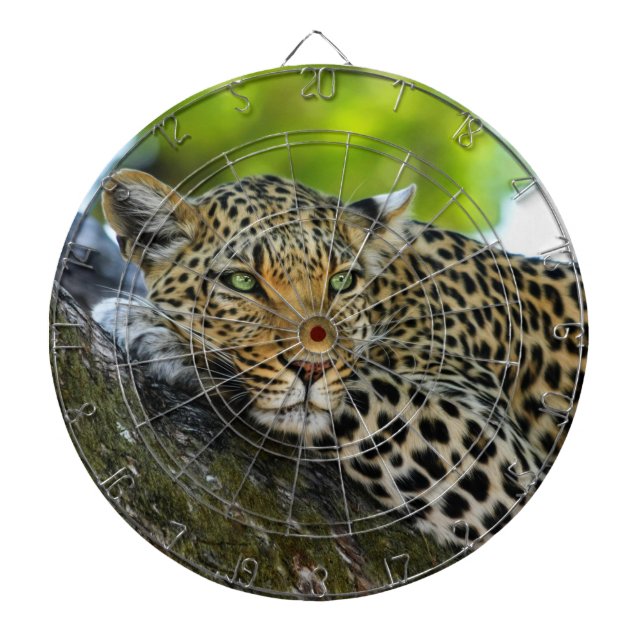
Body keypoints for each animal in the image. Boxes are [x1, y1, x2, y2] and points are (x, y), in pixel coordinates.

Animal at [93, 168, 587, 546]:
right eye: (241, 282)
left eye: (342, 281)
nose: (312, 368)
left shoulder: (500, 451)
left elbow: (362, 385)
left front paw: (152, 330)